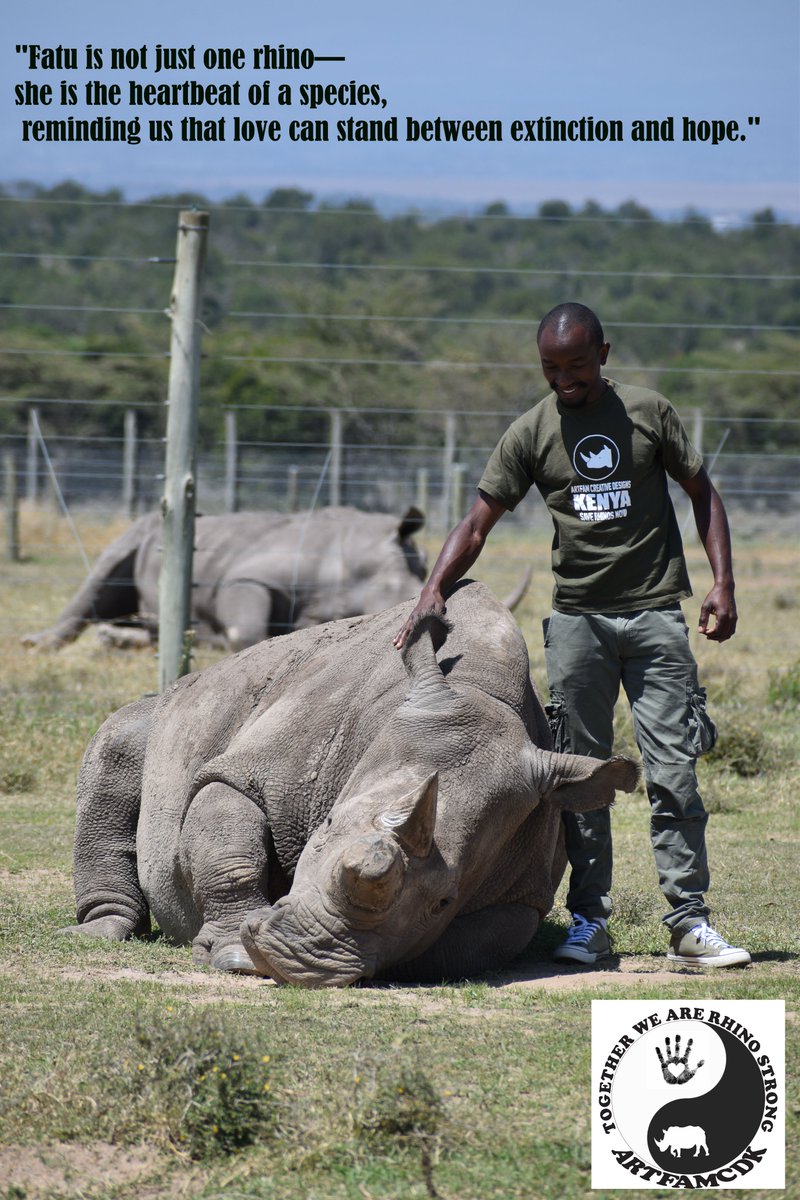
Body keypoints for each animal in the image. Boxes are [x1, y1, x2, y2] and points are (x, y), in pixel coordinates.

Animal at [62, 580, 637, 987]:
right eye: (326, 826)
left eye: (444, 901)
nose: (295, 957)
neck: (477, 690)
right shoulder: (254, 771)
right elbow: (228, 842)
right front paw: (235, 957)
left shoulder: (523, 892)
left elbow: (467, 948)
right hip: (182, 705)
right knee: (117, 743)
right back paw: (98, 933)